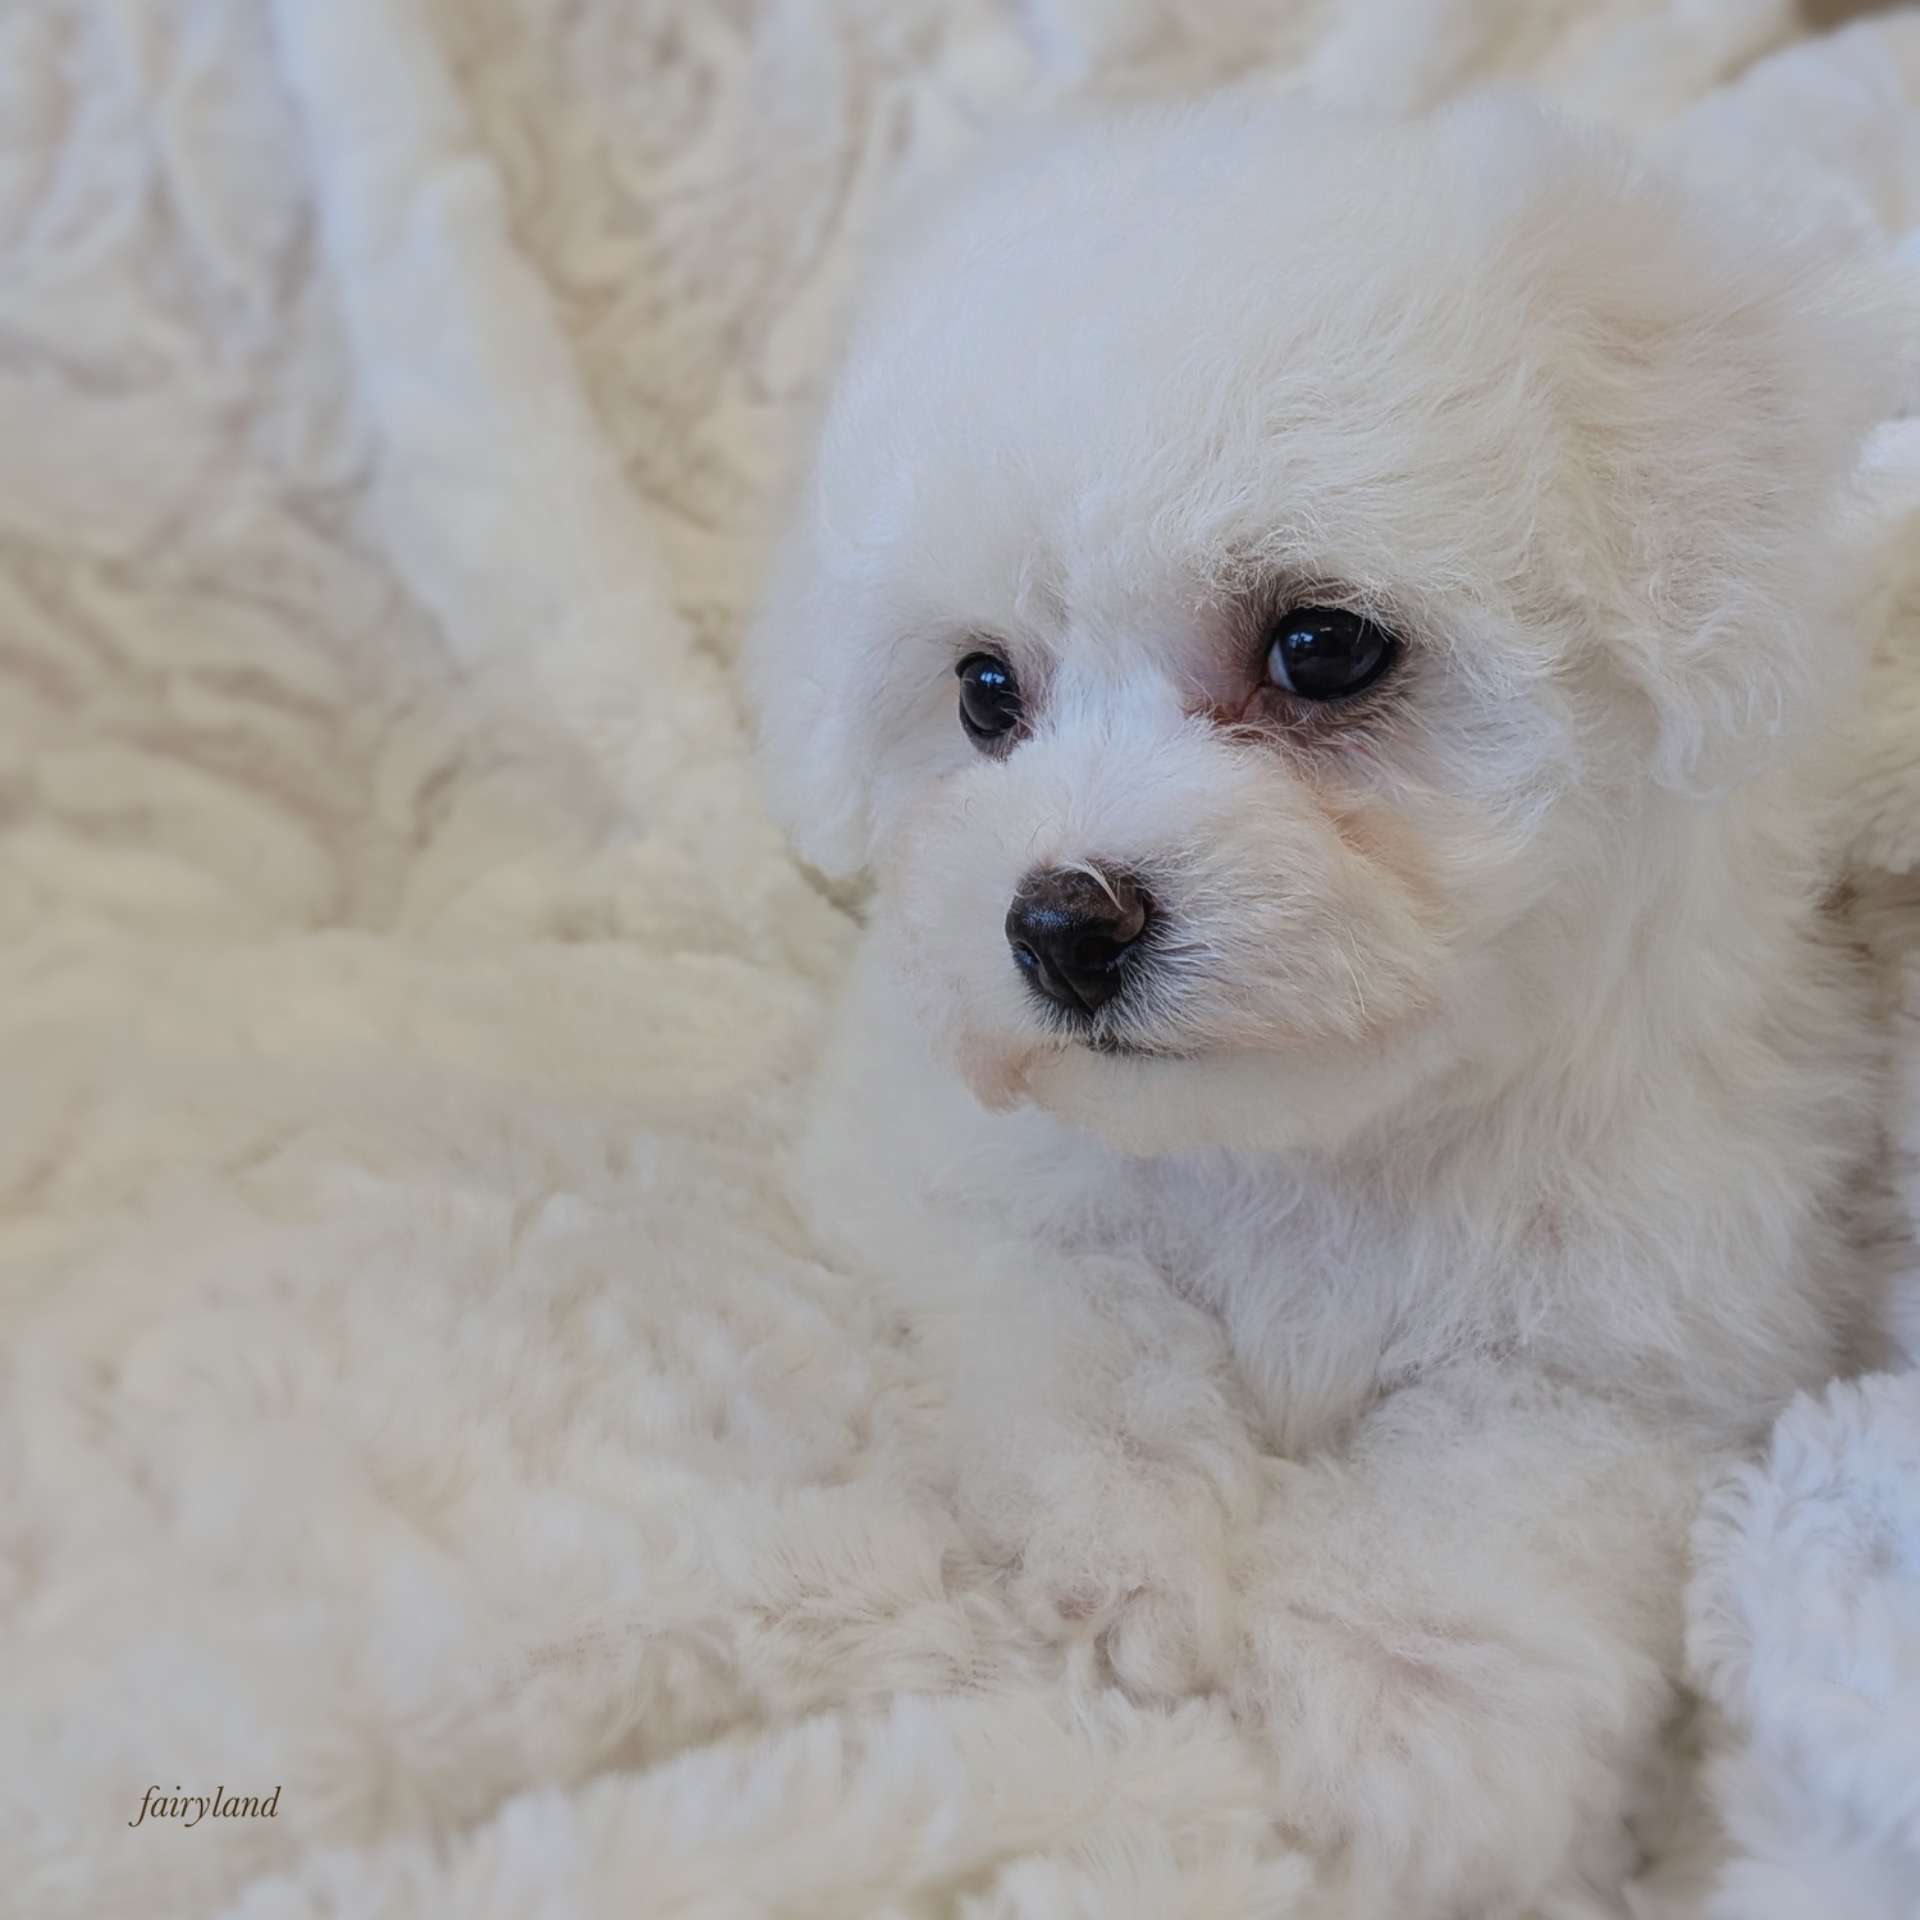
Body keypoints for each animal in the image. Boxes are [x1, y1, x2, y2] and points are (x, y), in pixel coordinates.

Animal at [748, 93, 1899, 1913]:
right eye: (986, 692)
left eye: (1324, 650)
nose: (1060, 925)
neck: (1307, 1131)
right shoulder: (950, 1174)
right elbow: (1077, 1316)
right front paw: (1134, 1547)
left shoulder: (1644, 1333)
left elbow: (1493, 1477)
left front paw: (1424, 1722)